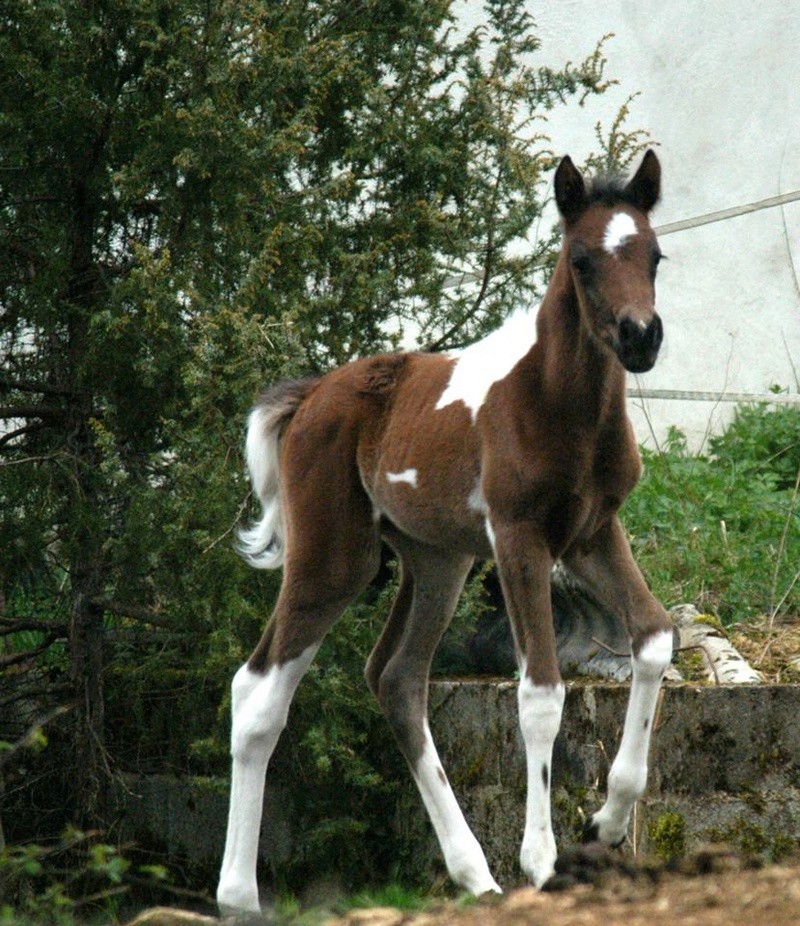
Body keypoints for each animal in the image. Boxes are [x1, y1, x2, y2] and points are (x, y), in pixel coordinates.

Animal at [216, 152, 672, 912]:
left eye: (655, 256)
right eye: (581, 261)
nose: (640, 337)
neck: (557, 403)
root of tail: (308, 398)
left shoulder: (591, 534)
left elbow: (655, 637)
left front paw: (605, 822)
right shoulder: (520, 539)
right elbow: (540, 692)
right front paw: (541, 861)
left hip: (436, 561)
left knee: (396, 678)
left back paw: (475, 875)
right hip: (334, 558)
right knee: (258, 694)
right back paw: (239, 899)